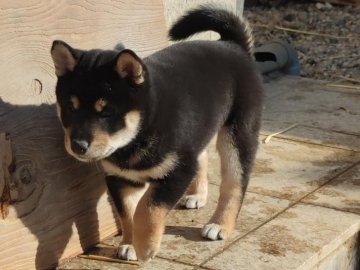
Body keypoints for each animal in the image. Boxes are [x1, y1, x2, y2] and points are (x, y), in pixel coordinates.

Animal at [51, 5, 262, 264]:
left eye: (106, 113)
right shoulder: (120, 178)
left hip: (238, 134)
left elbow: (148, 208)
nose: (78, 145)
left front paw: (145, 246)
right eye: (70, 108)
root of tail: (233, 45)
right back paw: (198, 195)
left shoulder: (178, 171)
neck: (138, 134)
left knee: (235, 183)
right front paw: (129, 243)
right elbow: (127, 213)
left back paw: (220, 224)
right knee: (202, 156)